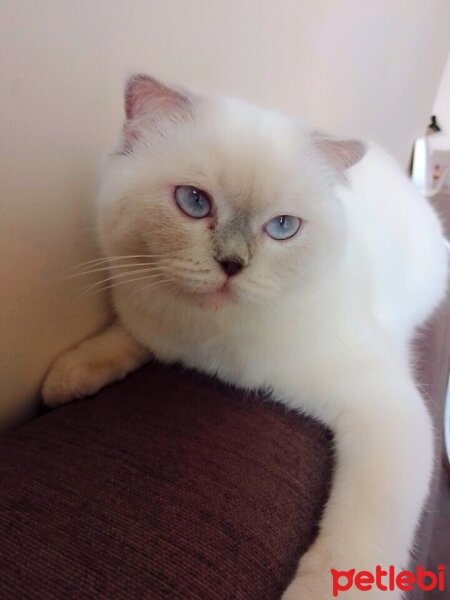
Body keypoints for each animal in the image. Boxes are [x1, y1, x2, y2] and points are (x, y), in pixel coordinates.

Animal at [41, 75, 446, 600]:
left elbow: (356, 539)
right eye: (194, 202)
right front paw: (65, 379)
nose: (232, 265)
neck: (212, 340)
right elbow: (122, 339)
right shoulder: (149, 315)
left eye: (283, 228)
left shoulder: (383, 407)